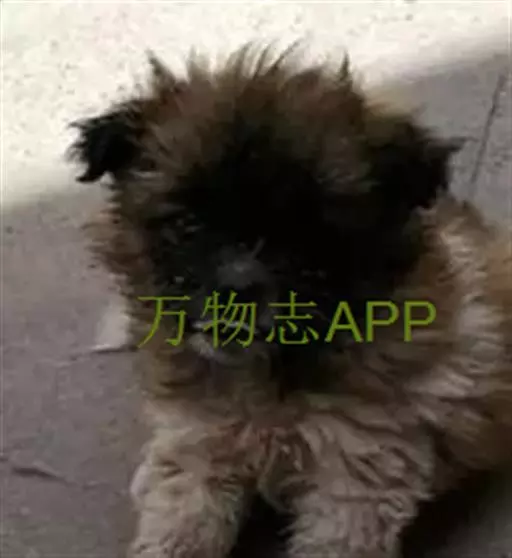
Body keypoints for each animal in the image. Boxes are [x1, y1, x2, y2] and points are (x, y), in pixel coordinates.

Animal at [69, 43, 512, 558]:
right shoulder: (199, 444)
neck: (263, 380)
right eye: (188, 225)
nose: (237, 286)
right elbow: (180, 523)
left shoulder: (356, 473)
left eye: (308, 241)